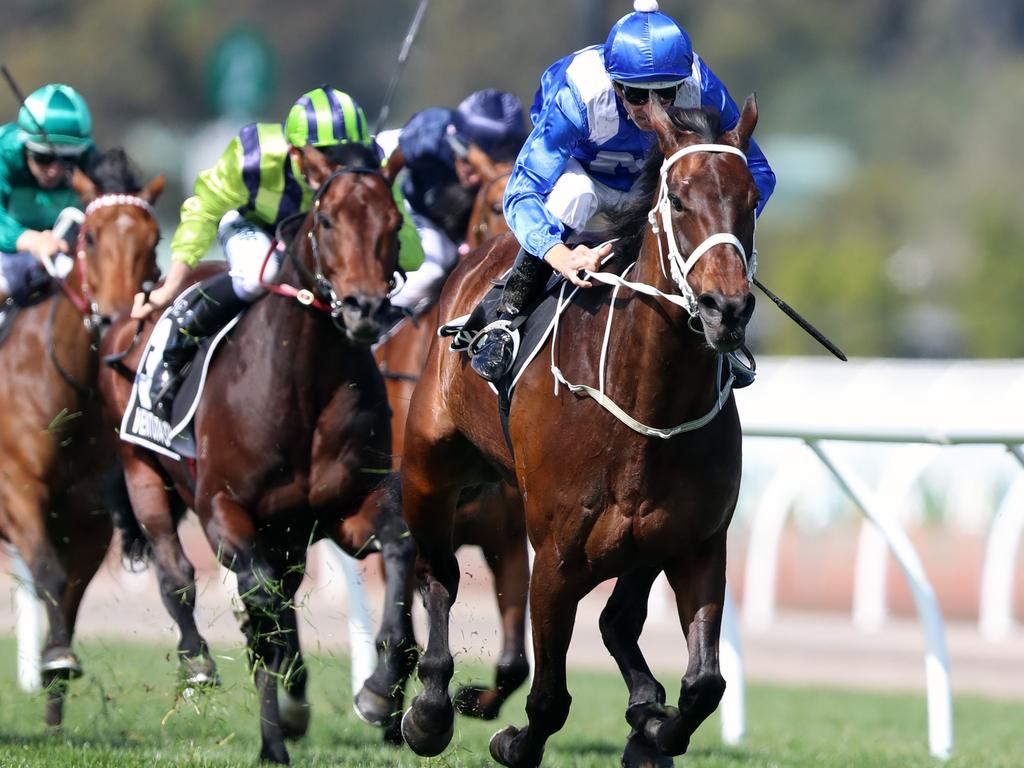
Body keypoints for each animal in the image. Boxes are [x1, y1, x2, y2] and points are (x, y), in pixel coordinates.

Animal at [0, 151, 162, 729]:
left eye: (154, 239)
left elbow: (71, 593)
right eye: (89, 236)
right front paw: (54, 662)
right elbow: (47, 571)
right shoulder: (16, 491)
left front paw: (55, 683)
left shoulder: (89, 515)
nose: (115, 317)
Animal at [96, 143, 415, 765]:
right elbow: (260, 603)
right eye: (327, 220)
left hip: (286, 533)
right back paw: (200, 663)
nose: (364, 309)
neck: (301, 381)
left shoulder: (347, 507)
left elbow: (398, 547)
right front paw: (278, 726)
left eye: (393, 223)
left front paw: (380, 689)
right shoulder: (225, 510)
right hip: (143, 472)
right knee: (177, 573)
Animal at [399, 97, 761, 768]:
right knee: (439, 572)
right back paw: (431, 706)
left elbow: (704, 684)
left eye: (750, 199)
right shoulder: (556, 556)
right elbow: (548, 698)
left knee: (617, 621)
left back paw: (644, 706)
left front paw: (653, 732)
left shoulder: (697, 542)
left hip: (642, 542)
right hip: (428, 466)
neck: (648, 405)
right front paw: (511, 738)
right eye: (678, 199)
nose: (726, 310)